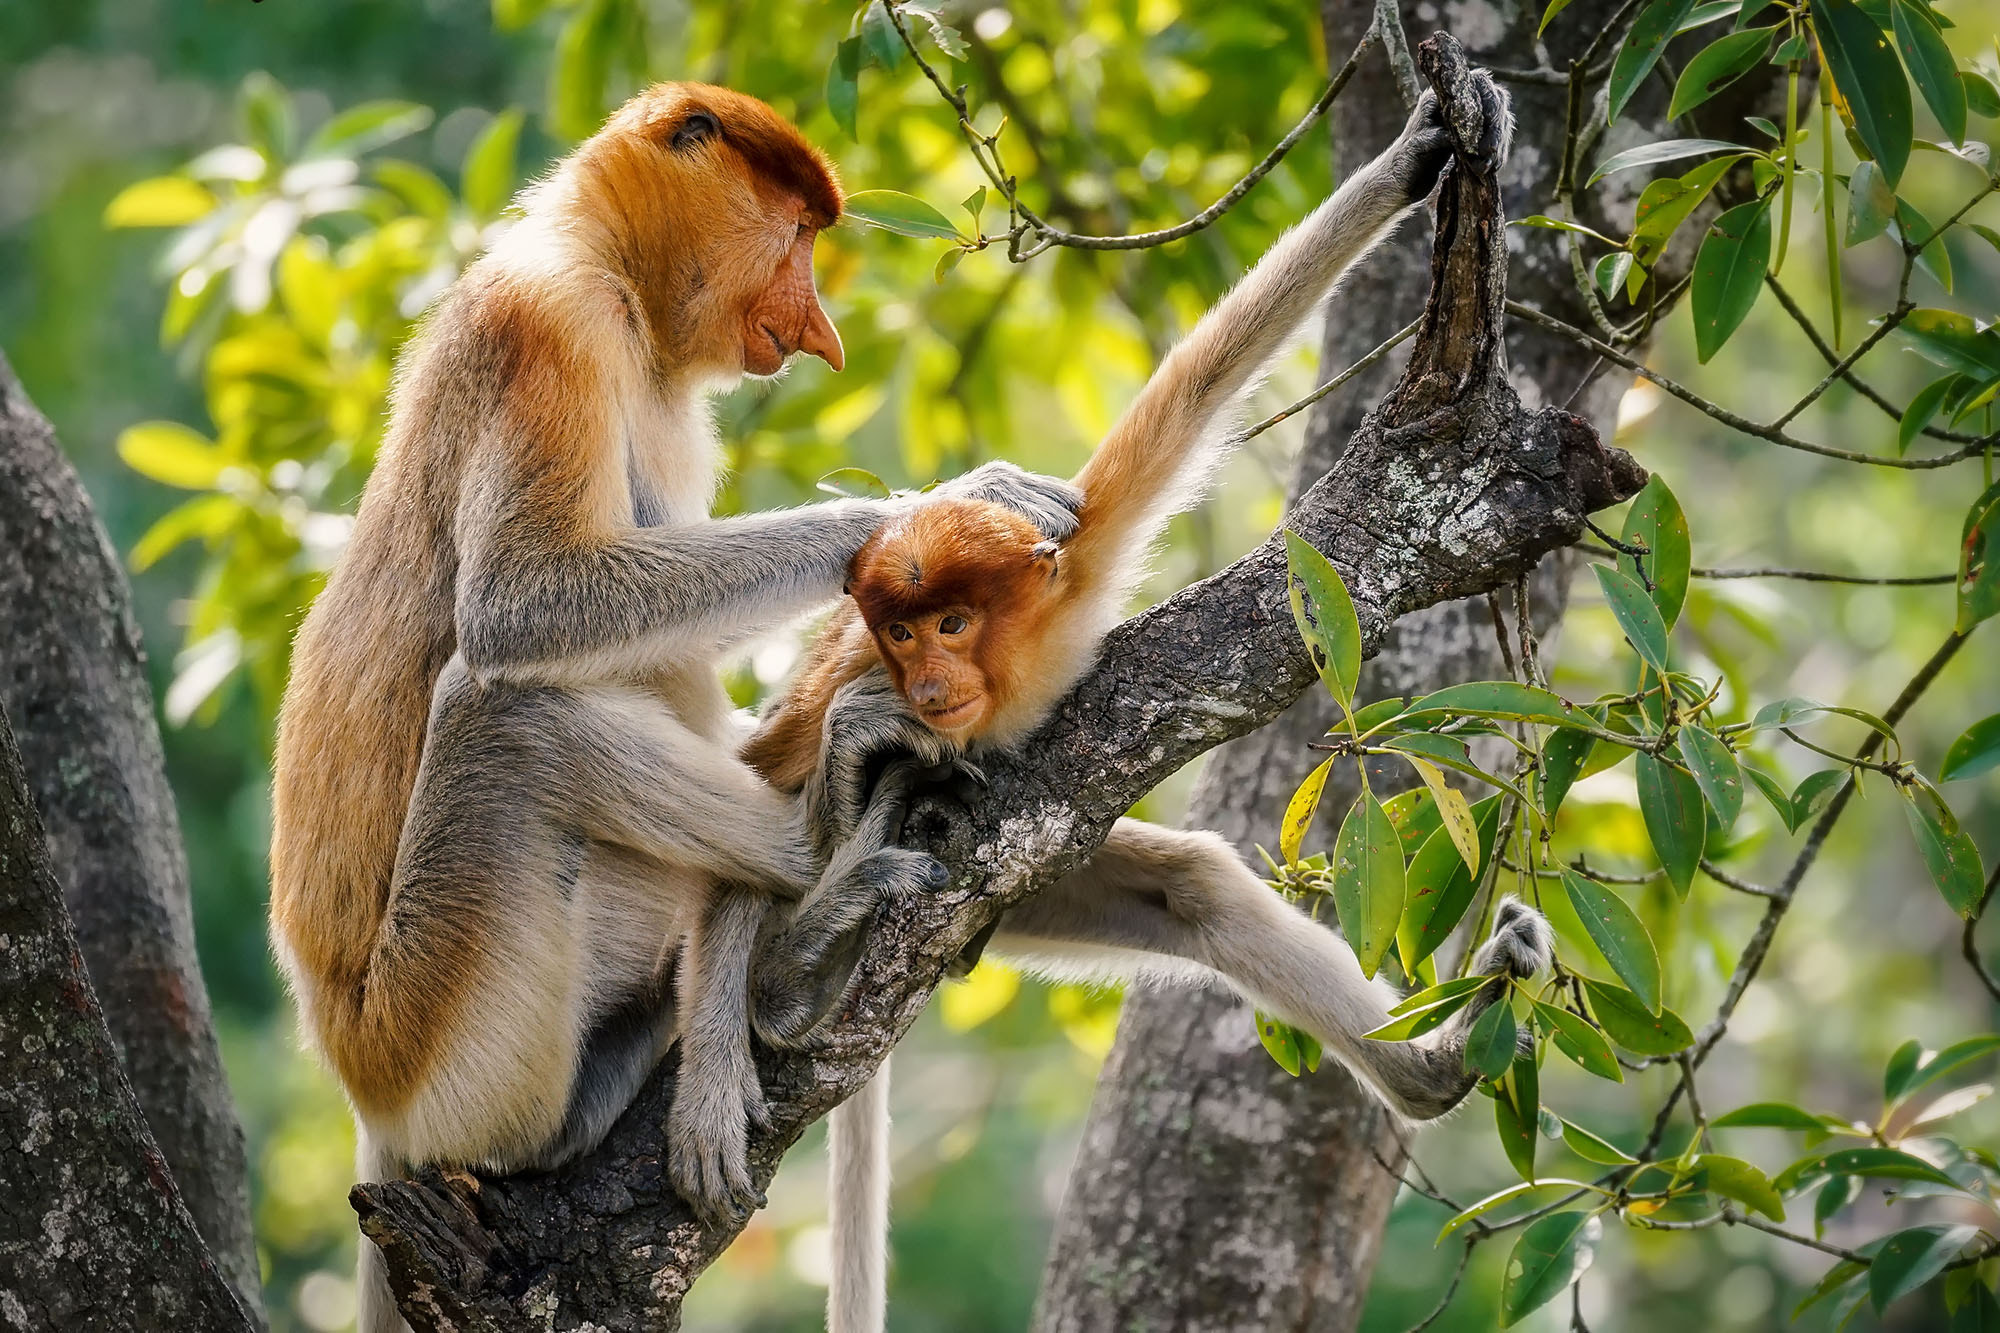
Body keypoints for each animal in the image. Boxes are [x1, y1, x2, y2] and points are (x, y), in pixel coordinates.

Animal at [268, 83, 1088, 1328]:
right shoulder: (549, 329)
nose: (817, 331)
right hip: (452, 1036)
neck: (601, 260)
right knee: (509, 712)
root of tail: (361, 1087)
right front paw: (945, 503)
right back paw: (819, 863)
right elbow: (523, 605)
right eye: (796, 234)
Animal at [744, 70, 1552, 1328]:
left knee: (1193, 886)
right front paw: (858, 746)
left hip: (1045, 891)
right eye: (899, 630)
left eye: (949, 624)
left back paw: (1430, 1072)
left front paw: (1416, 157)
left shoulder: (1073, 550)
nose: (924, 681)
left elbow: (1202, 379)